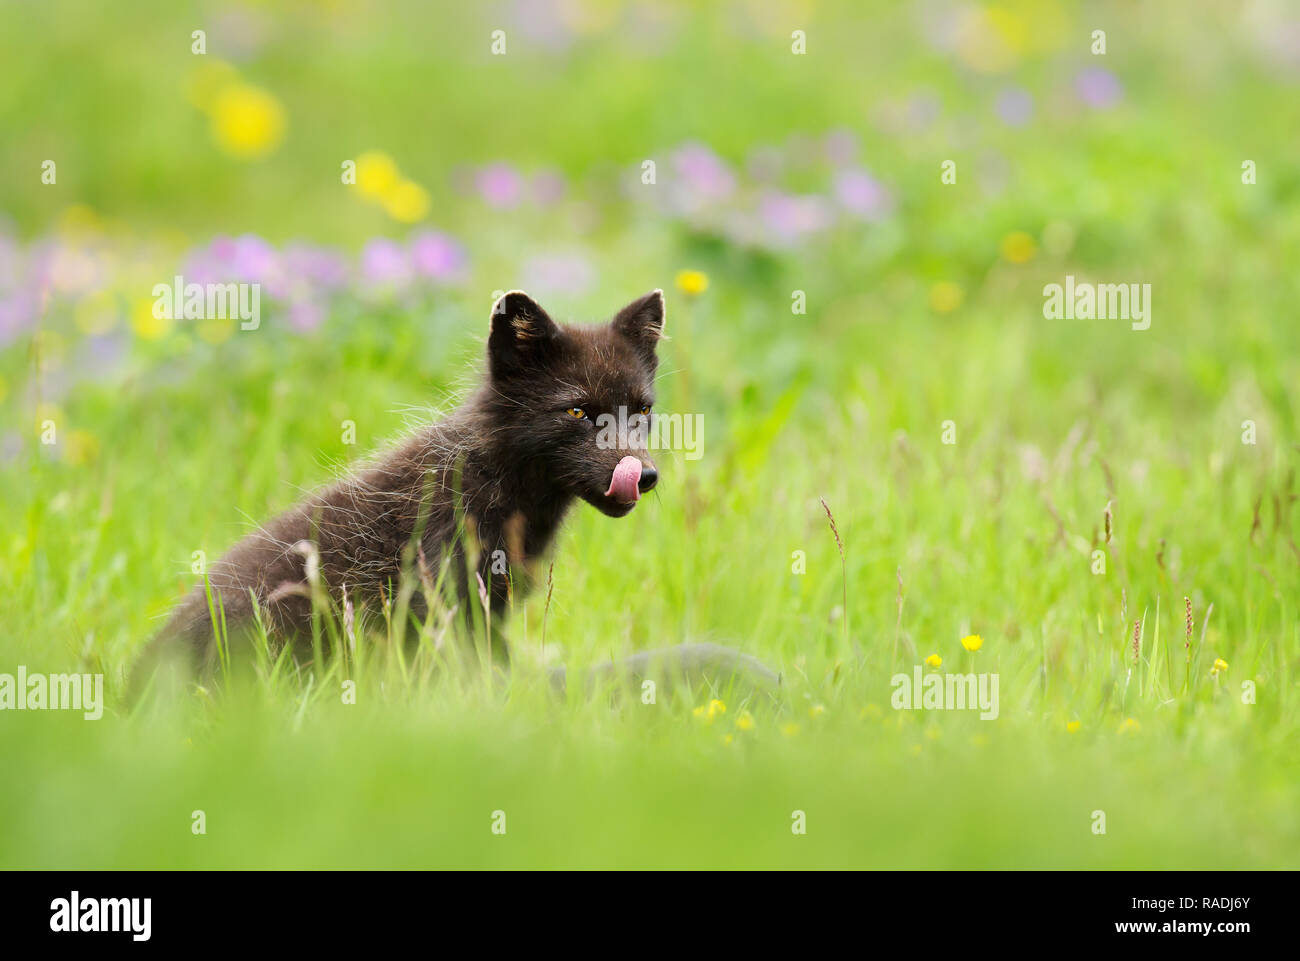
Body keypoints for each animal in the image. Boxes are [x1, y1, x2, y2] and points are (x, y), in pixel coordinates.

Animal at [129, 289, 780, 702]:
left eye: (641, 412)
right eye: (576, 411)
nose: (642, 475)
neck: (500, 488)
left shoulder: (489, 609)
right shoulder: (440, 597)